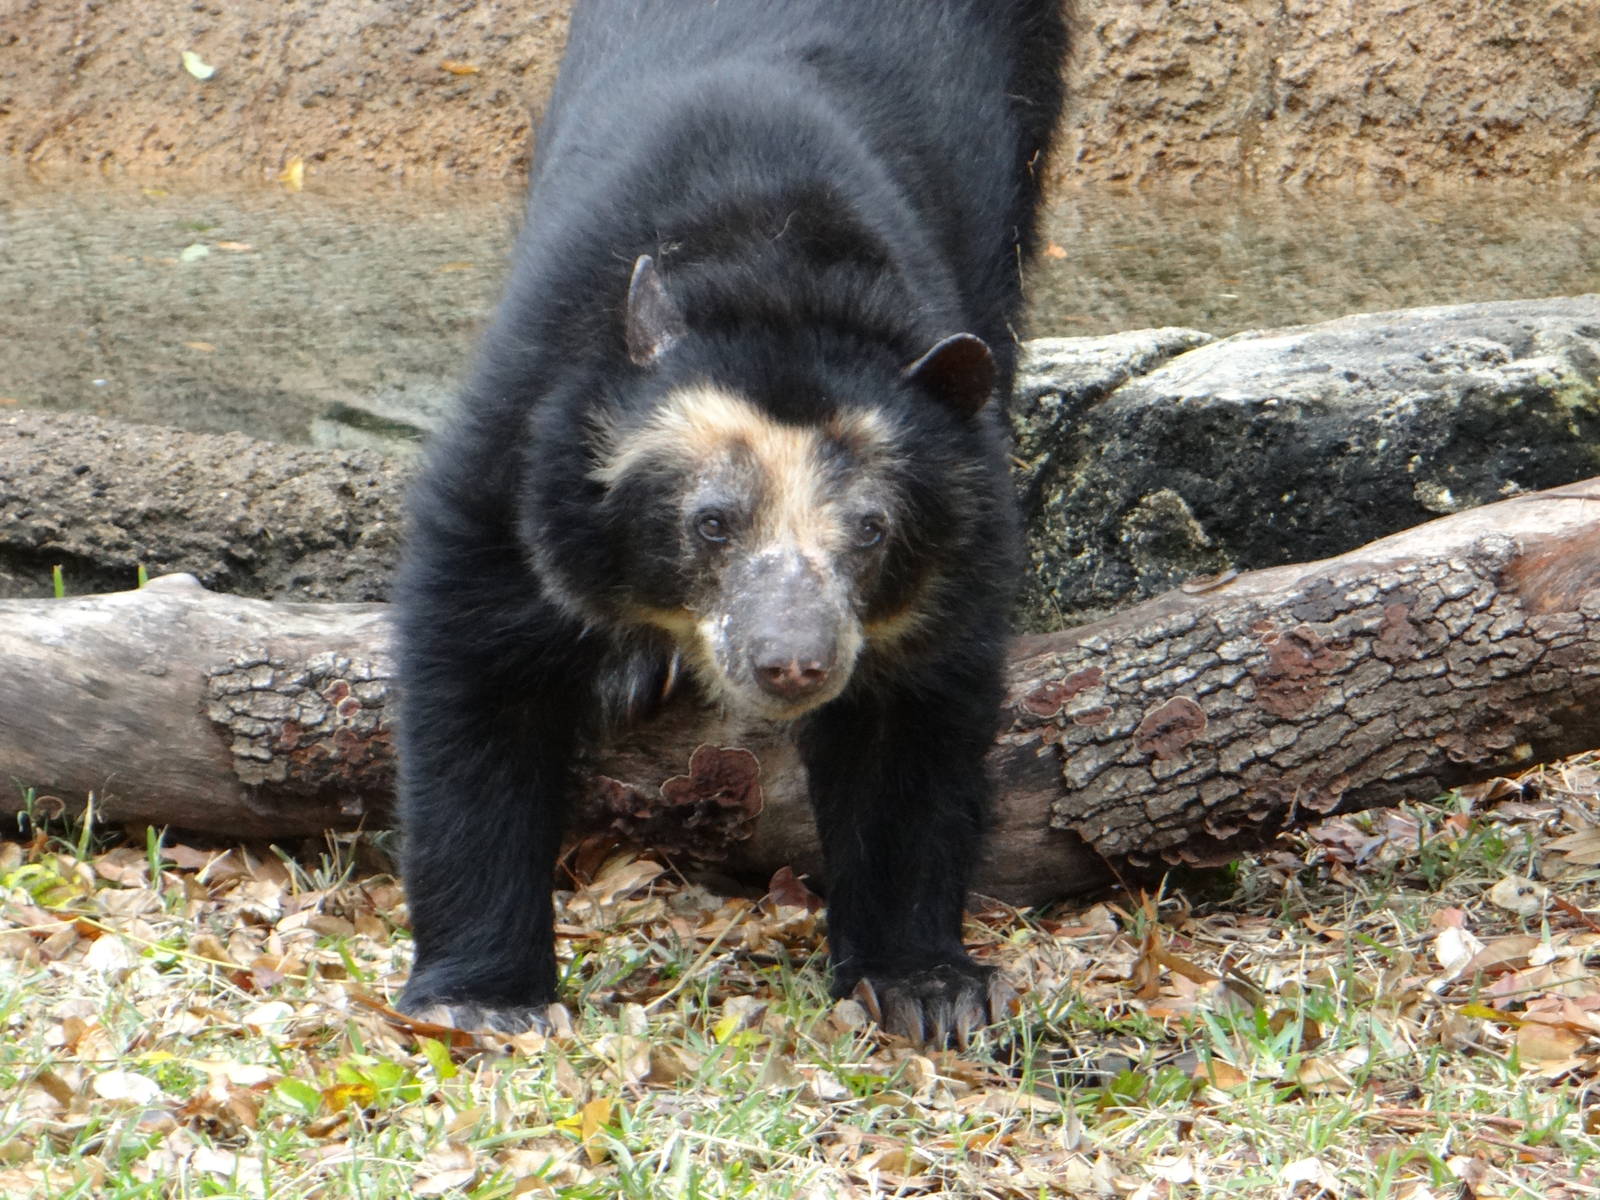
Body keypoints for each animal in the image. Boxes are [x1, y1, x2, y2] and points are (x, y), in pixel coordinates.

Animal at [395, 0, 1068, 1046]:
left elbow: (912, 726)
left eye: (871, 532)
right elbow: (481, 662)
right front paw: (484, 999)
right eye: (712, 523)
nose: (792, 664)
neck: (774, 270)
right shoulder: (527, 425)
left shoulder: (962, 525)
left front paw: (928, 989)